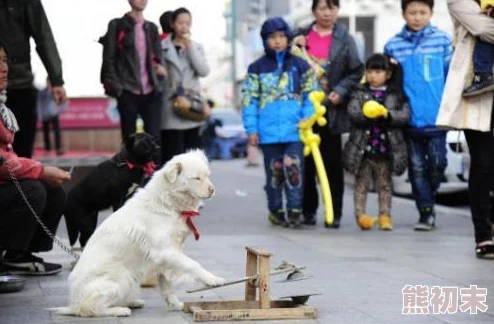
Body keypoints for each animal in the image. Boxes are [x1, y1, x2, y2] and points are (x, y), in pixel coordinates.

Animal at [52, 151, 226, 318]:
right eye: (196, 178)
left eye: (207, 175)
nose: (212, 190)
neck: (167, 202)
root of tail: (73, 301)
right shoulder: (165, 252)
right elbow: (193, 264)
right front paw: (212, 279)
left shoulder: (166, 257)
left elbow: (167, 285)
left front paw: (175, 305)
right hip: (121, 277)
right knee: (89, 308)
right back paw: (119, 310)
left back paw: (131, 302)